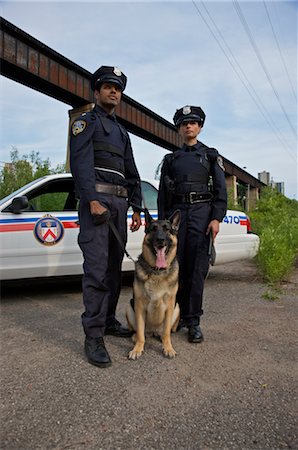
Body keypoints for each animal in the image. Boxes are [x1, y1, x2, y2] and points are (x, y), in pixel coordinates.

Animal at [125, 209, 179, 360]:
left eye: (167, 229)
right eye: (153, 229)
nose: (160, 240)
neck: (157, 271)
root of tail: (153, 331)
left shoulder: (170, 305)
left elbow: (166, 332)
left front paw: (168, 348)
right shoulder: (139, 305)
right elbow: (140, 334)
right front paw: (137, 349)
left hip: (177, 308)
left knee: (165, 331)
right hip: (129, 306)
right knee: (140, 332)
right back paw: (135, 337)